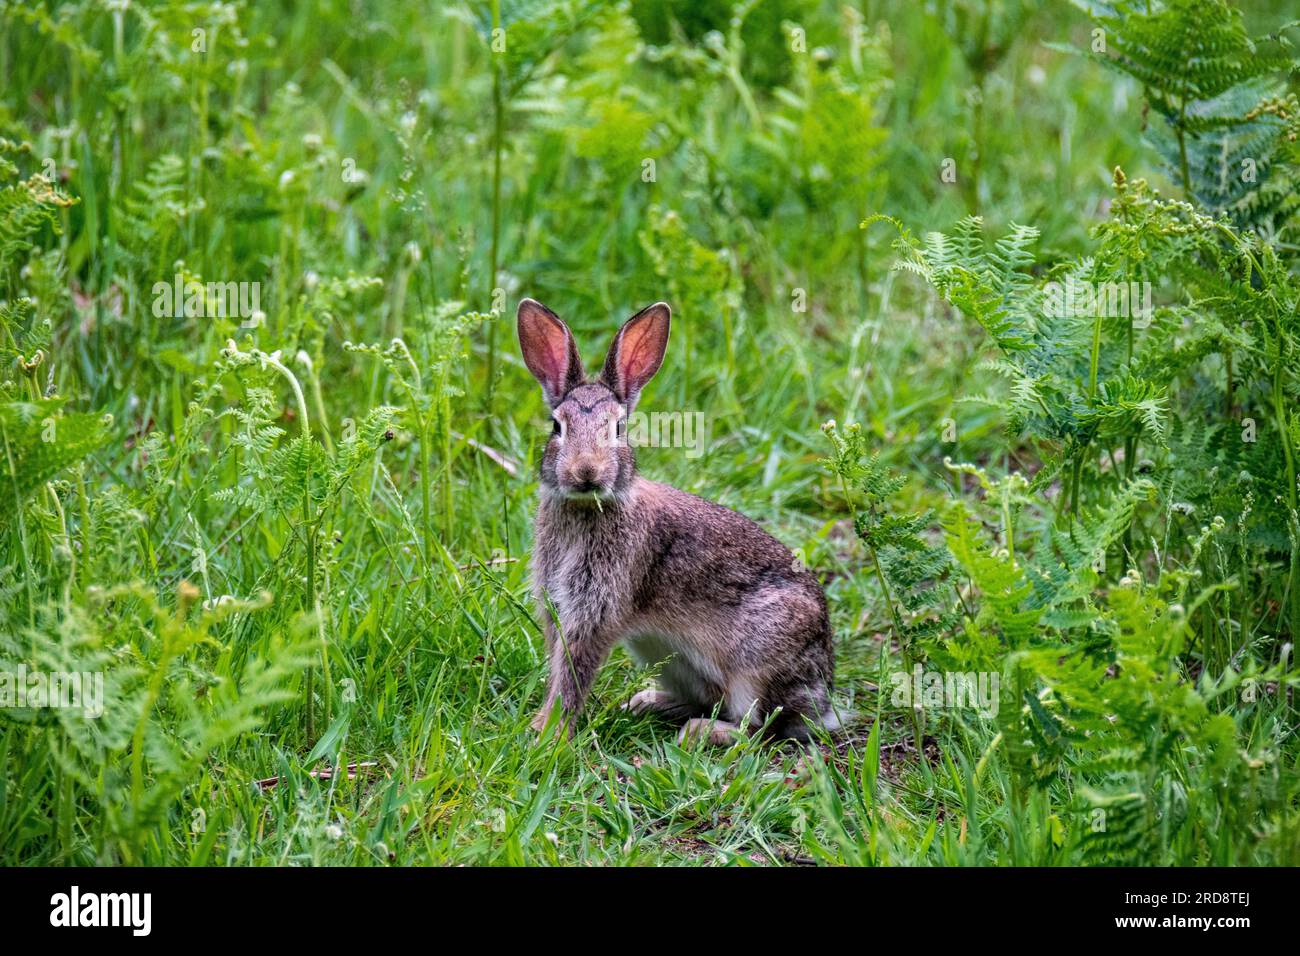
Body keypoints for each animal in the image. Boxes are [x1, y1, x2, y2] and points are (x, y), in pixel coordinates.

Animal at [517, 297, 839, 746]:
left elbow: (574, 671)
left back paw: (700, 732)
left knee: (756, 729)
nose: (586, 472)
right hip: (668, 657)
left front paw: (550, 733)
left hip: (758, 662)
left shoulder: (594, 610)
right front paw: (542, 725)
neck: (587, 508)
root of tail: (822, 703)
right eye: (556, 426)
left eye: (619, 428)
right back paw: (646, 703)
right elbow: (559, 663)